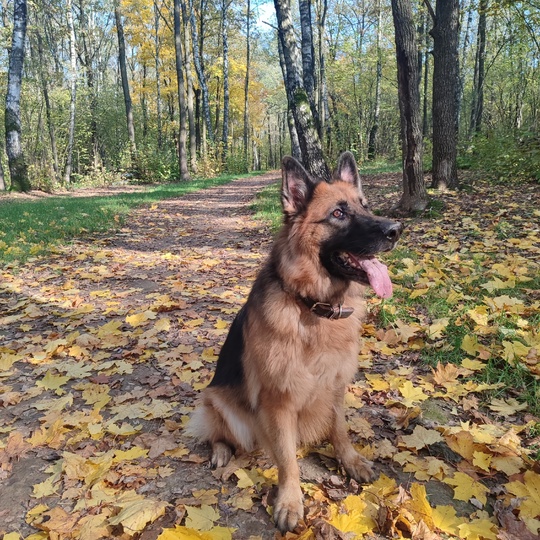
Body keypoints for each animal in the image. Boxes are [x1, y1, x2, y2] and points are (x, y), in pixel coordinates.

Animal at [188, 152, 402, 532]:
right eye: (338, 214)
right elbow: (288, 460)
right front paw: (290, 502)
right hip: (217, 400)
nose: (396, 229)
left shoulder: (335, 386)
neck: (312, 306)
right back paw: (221, 451)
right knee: (218, 432)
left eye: (365, 205)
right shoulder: (279, 401)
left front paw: (350, 461)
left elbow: (340, 430)